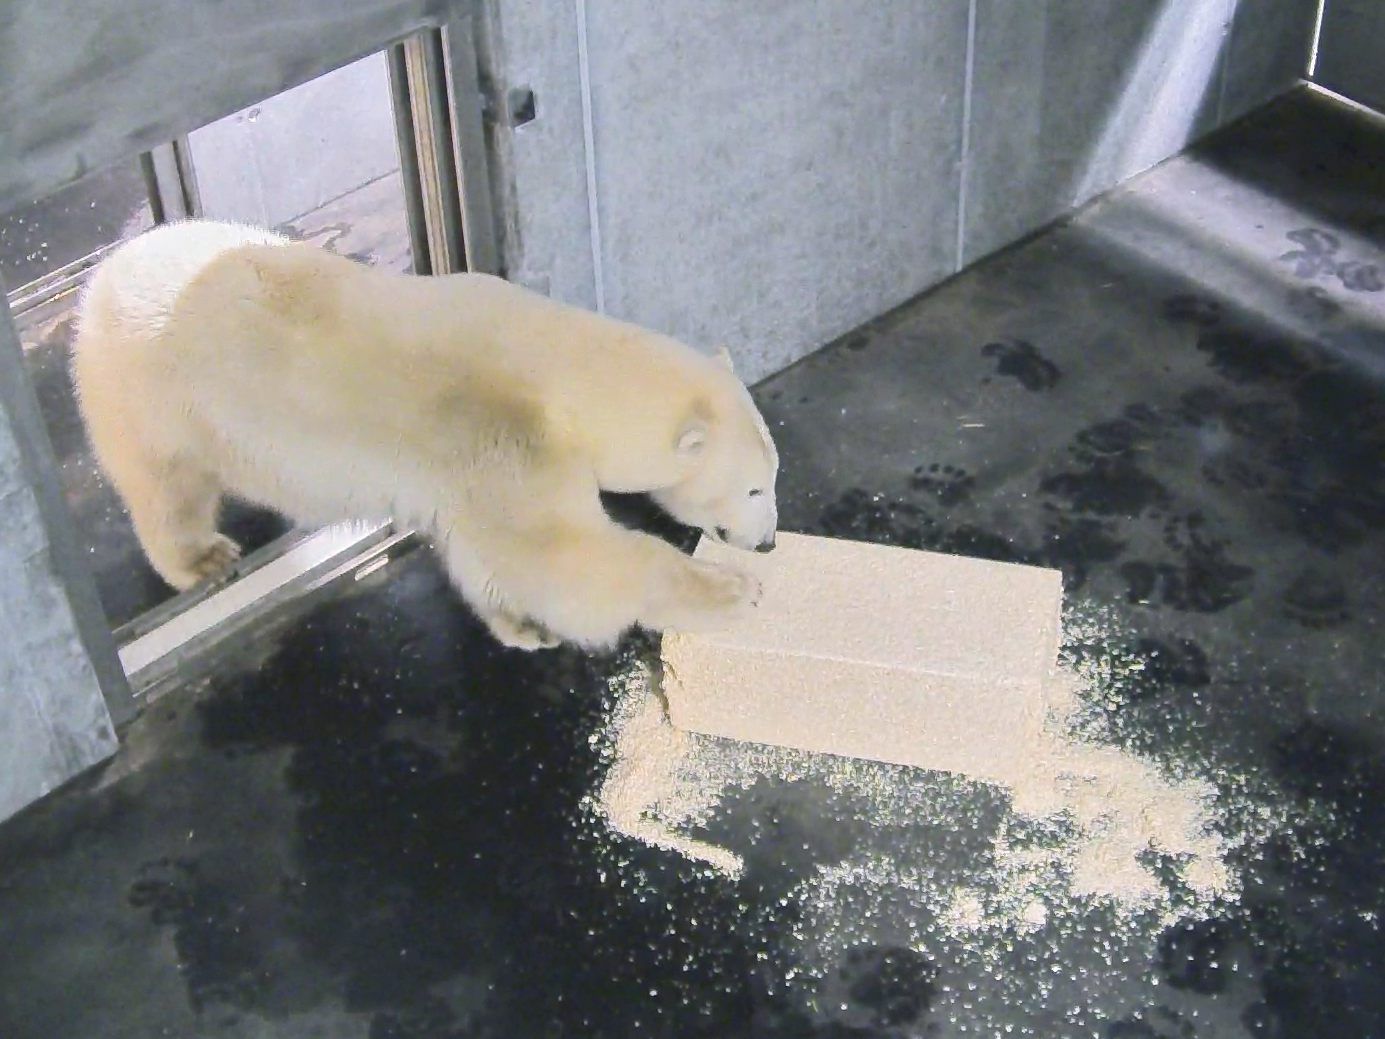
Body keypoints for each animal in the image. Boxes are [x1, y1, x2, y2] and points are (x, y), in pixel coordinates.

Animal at [73, 221, 781, 651]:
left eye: (772, 478)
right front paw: (733, 591)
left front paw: (521, 627)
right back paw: (202, 557)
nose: (769, 544)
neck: (553, 367)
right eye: (753, 489)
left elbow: (485, 555)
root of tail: (102, 276)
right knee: (168, 485)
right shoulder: (502, 437)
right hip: (154, 392)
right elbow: (555, 554)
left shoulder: (466, 469)